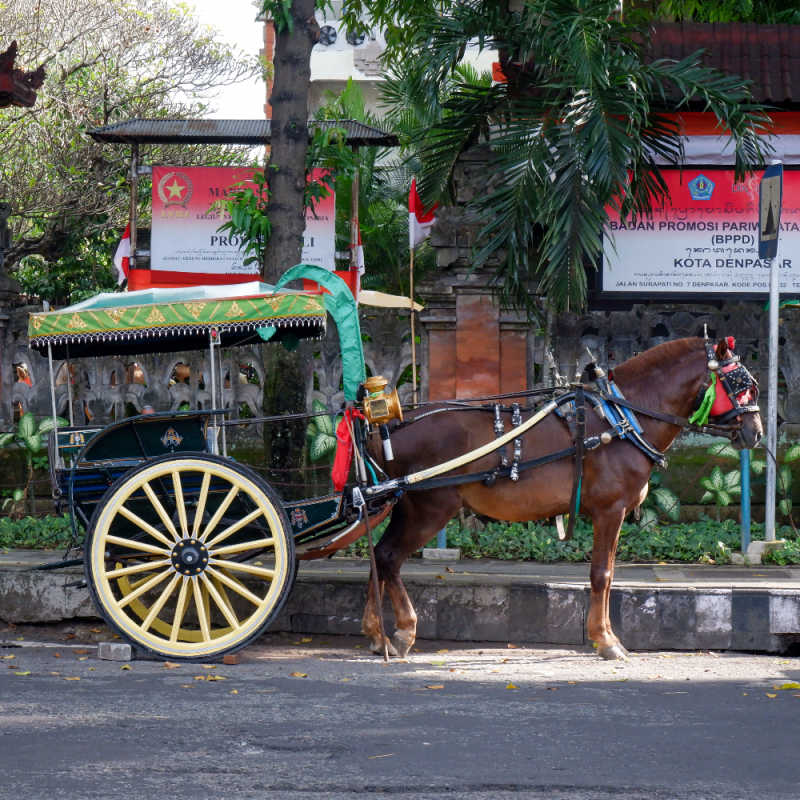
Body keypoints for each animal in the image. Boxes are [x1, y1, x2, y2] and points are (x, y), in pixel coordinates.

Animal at [362, 334, 764, 660]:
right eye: (742, 386)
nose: (756, 433)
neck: (623, 416)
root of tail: (389, 426)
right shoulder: (610, 510)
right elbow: (602, 574)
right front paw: (606, 640)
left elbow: (609, 574)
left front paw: (605, 635)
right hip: (430, 507)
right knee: (389, 557)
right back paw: (402, 631)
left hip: (404, 506)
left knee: (378, 555)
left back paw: (376, 633)